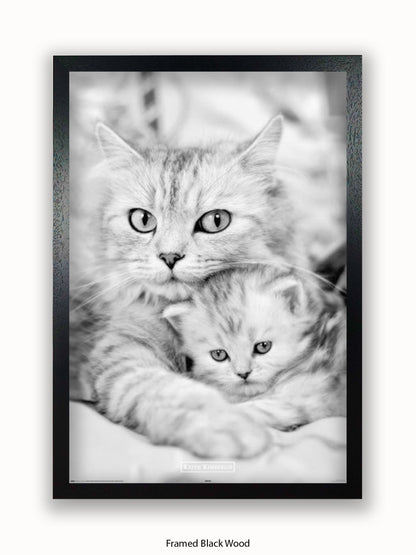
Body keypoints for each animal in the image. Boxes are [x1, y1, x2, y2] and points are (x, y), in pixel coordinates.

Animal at [70, 115, 306, 458]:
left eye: (216, 220)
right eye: (142, 220)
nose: (169, 257)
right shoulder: (122, 353)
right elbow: (170, 390)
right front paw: (227, 426)